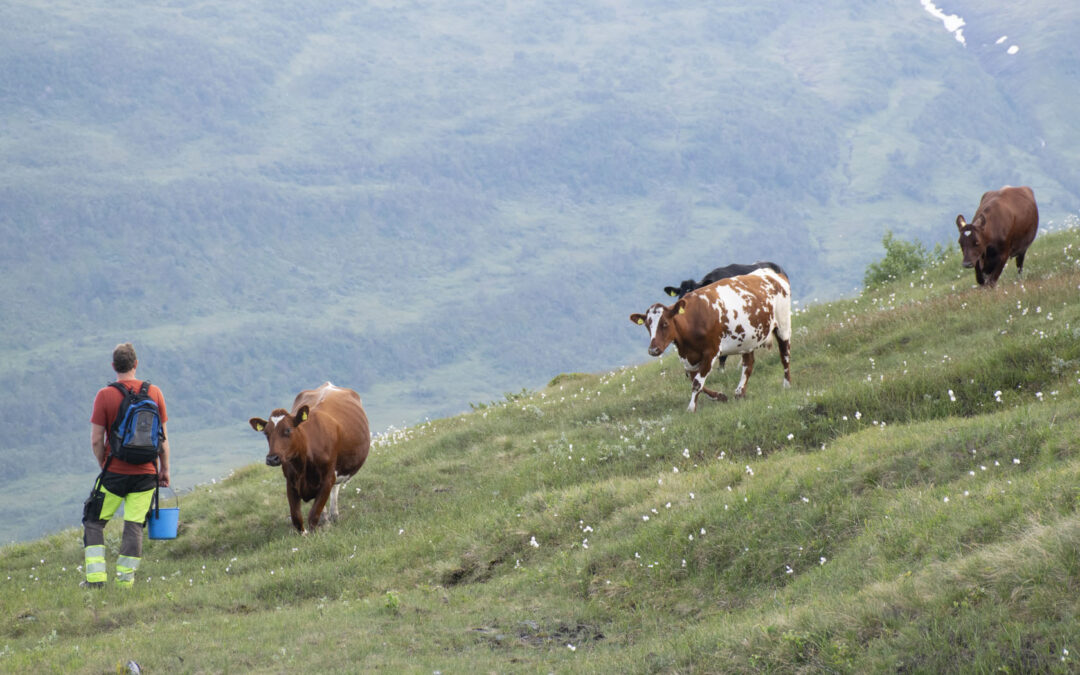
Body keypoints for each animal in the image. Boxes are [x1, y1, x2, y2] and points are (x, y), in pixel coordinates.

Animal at [248, 380, 371, 531]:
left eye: (288, 430)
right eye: (266, 433)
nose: (272, 459)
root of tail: (328, 385)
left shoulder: (327, 478)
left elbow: (313, 514)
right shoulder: (291, 482)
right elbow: (296, 518)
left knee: (334, 488)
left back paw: (334, 515)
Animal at [626, 268, 794, 410]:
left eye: (665, 324)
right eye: (647, 326)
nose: (653, 350)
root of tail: (772, 273)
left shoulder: (711, 351)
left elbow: (697, 383)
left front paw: (691, 409)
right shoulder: (688, 357)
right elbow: (693, 379)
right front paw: (719, 396)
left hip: (783, 324)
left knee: (784, 354)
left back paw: (786, 385)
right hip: (748, 338)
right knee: (748, 363)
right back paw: (739, 392)